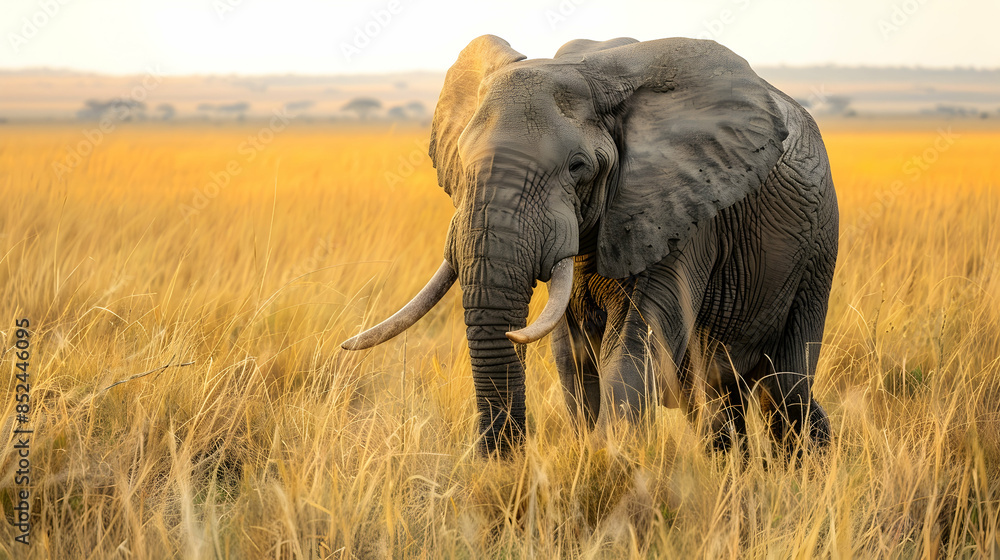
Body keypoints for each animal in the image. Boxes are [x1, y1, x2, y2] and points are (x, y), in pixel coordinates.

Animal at [342, 35, 838, 457]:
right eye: (462, 162)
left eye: (578, 166)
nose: (500, 461)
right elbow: (571, 355)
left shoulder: (683, 211)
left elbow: (640, 340)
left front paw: (605, 462)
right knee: (720, 401)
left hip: (817, 251)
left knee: (783, 391)